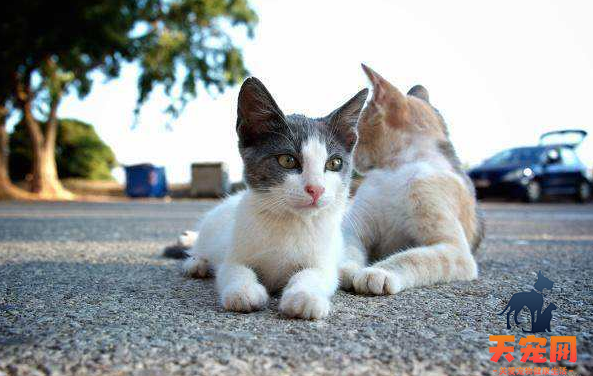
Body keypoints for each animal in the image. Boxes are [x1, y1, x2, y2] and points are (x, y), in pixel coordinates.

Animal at [182, 78, 366, 318]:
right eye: (287, 160)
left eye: (335, 163)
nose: (316, 189)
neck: (291, 223)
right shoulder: (233, 255)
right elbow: (234, 269)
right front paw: (244, 291)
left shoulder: (323, 261)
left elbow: (315, 274)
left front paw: (304, 296)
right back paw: (197, 264)